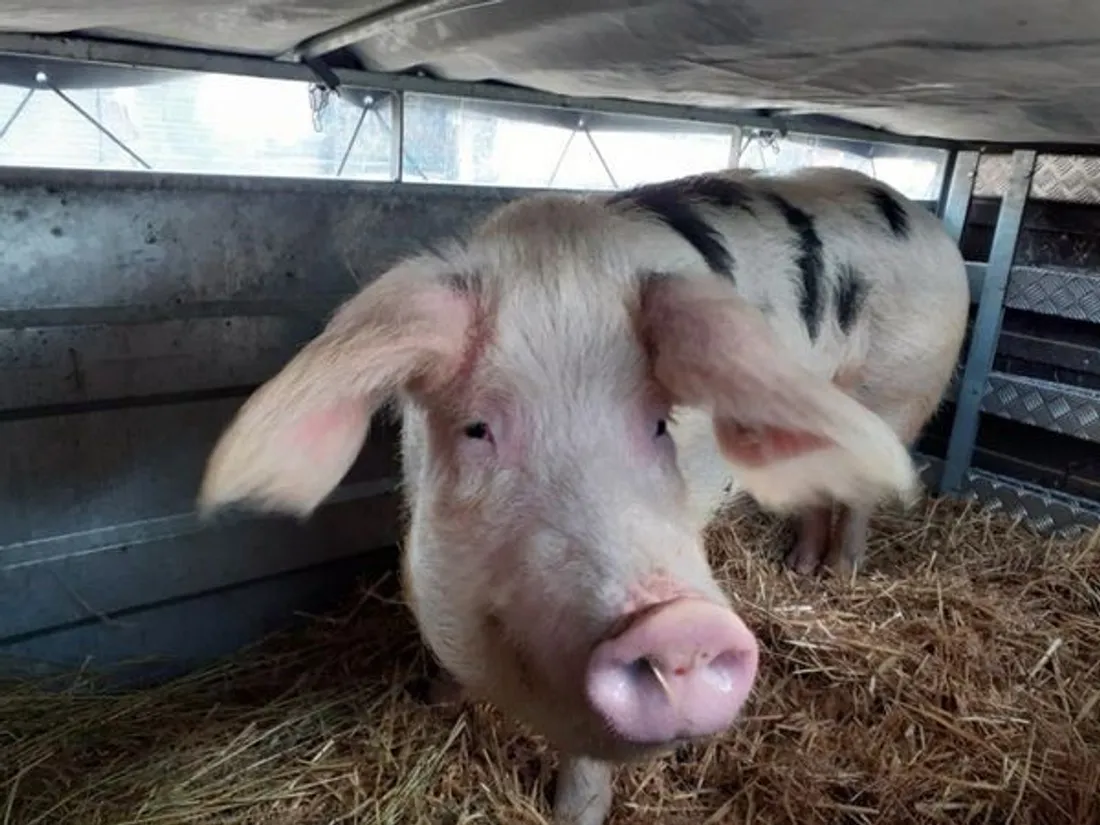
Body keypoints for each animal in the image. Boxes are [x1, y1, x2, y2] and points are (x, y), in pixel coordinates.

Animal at [200, 165, 972, 822]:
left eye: (660, 423)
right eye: (479, 428)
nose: (677, 624)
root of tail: (922, 218)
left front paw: (575, 812)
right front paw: (436, 698)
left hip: (896, 391)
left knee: (863, 491)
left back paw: (841, 573)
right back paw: (801, 570)